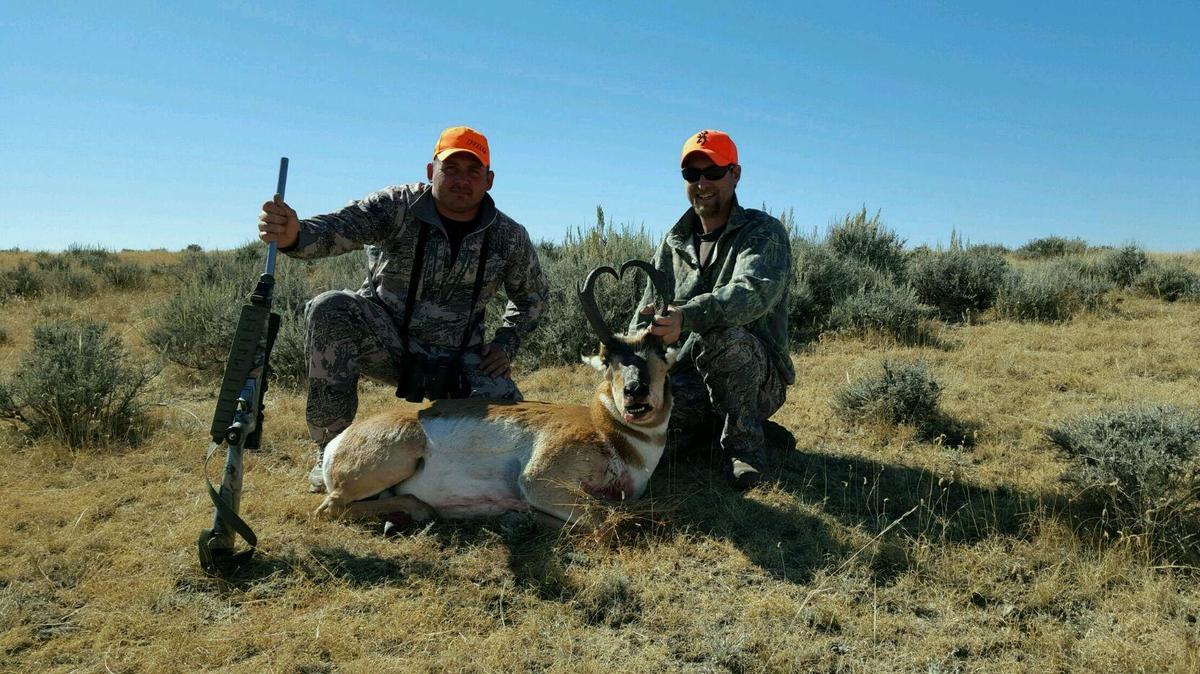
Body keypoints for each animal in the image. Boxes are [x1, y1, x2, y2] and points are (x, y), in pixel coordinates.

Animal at [314, 260, 676, 530]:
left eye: (661, 356)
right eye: (608, 361)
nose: (635, 393)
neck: (605, 430)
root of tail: (337, 442)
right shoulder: (538, 481)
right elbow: (610, 519)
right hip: (396, 459)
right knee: (328, 508)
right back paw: (420, 510)